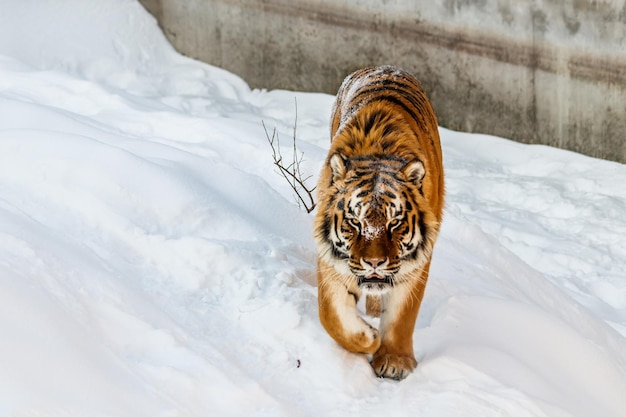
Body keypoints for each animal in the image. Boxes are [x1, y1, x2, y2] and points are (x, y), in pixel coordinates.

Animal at [314, 66, 442, 380]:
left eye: (394, 223)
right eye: (354, 222)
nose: (374, 263)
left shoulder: (415, 265)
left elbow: (401, 317)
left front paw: (395, 362)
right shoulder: (333, 258)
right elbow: (331, 314)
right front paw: (367, 338)